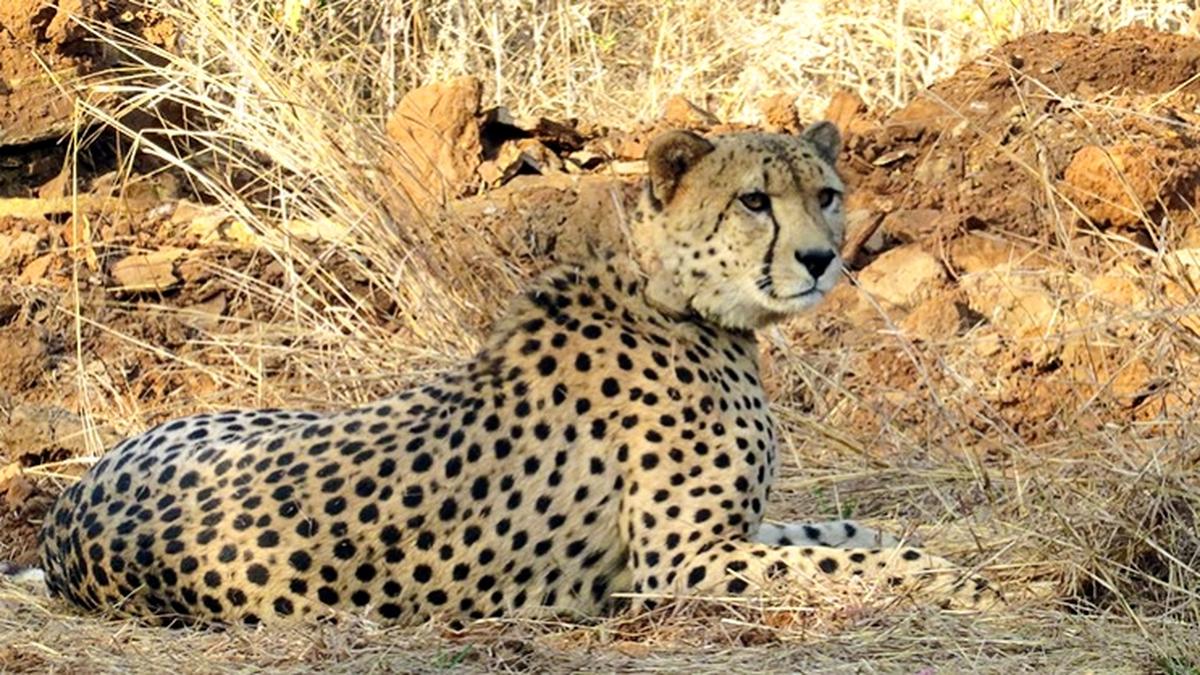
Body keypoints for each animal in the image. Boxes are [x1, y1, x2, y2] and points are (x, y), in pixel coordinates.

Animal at [37, 123, 1002, 628]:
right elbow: (846, 562)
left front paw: (945, 558)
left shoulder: (733, 532)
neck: (680, 299)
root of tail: (61, 519)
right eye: (754, 201)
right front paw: (957, 584)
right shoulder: (675, 563)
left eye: (826, 193)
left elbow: (848, 532)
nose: (819, 258)